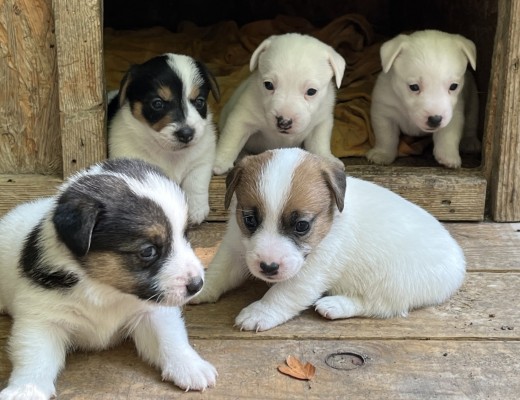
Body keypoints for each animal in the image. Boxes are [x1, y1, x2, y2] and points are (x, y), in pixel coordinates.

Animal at [0, 158, 217, 398]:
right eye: (148, 251)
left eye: (185, 235)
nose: (197, 285)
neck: (106, 289)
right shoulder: (42, 319)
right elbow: (34, 358)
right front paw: (26, 389)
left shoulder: (151, 312)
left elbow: (170, 338)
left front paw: (189, 366)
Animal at [108, 52, 220, 225]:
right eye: (157, 103)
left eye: (200, 101)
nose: (187, 134)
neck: (171, 153)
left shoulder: (202, 160)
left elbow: (196, 181)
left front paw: (196, 210)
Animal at [192, 148, 468, 332]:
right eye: (249, 220)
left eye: (302, 226)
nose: (268, 268)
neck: (330, 222)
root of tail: (458, 263)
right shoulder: (234, 248)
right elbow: (218, 272)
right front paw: (198, 287)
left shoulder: (310, 272)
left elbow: (282, 293)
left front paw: (261, 311)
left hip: (391, 282)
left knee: (380, 306)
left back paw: (335, 305)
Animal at [213, 34, 348, 177]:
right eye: (268, 85)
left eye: (311, 91)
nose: (284, 122)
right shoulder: (242, 118)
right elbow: (230, 140)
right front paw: (219, 161)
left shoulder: (321, 123)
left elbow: (319, 144)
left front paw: (327, 158)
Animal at [366, 29, 480, 167]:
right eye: (414, 87)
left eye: (453, 86)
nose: (435, 120)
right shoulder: (384, 111)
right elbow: (386, 136)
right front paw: (382, 154)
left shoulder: (454, 113)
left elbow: (448, 135)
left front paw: (449, 156)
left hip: (473, 98)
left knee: (471, 121)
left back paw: (470, 141)